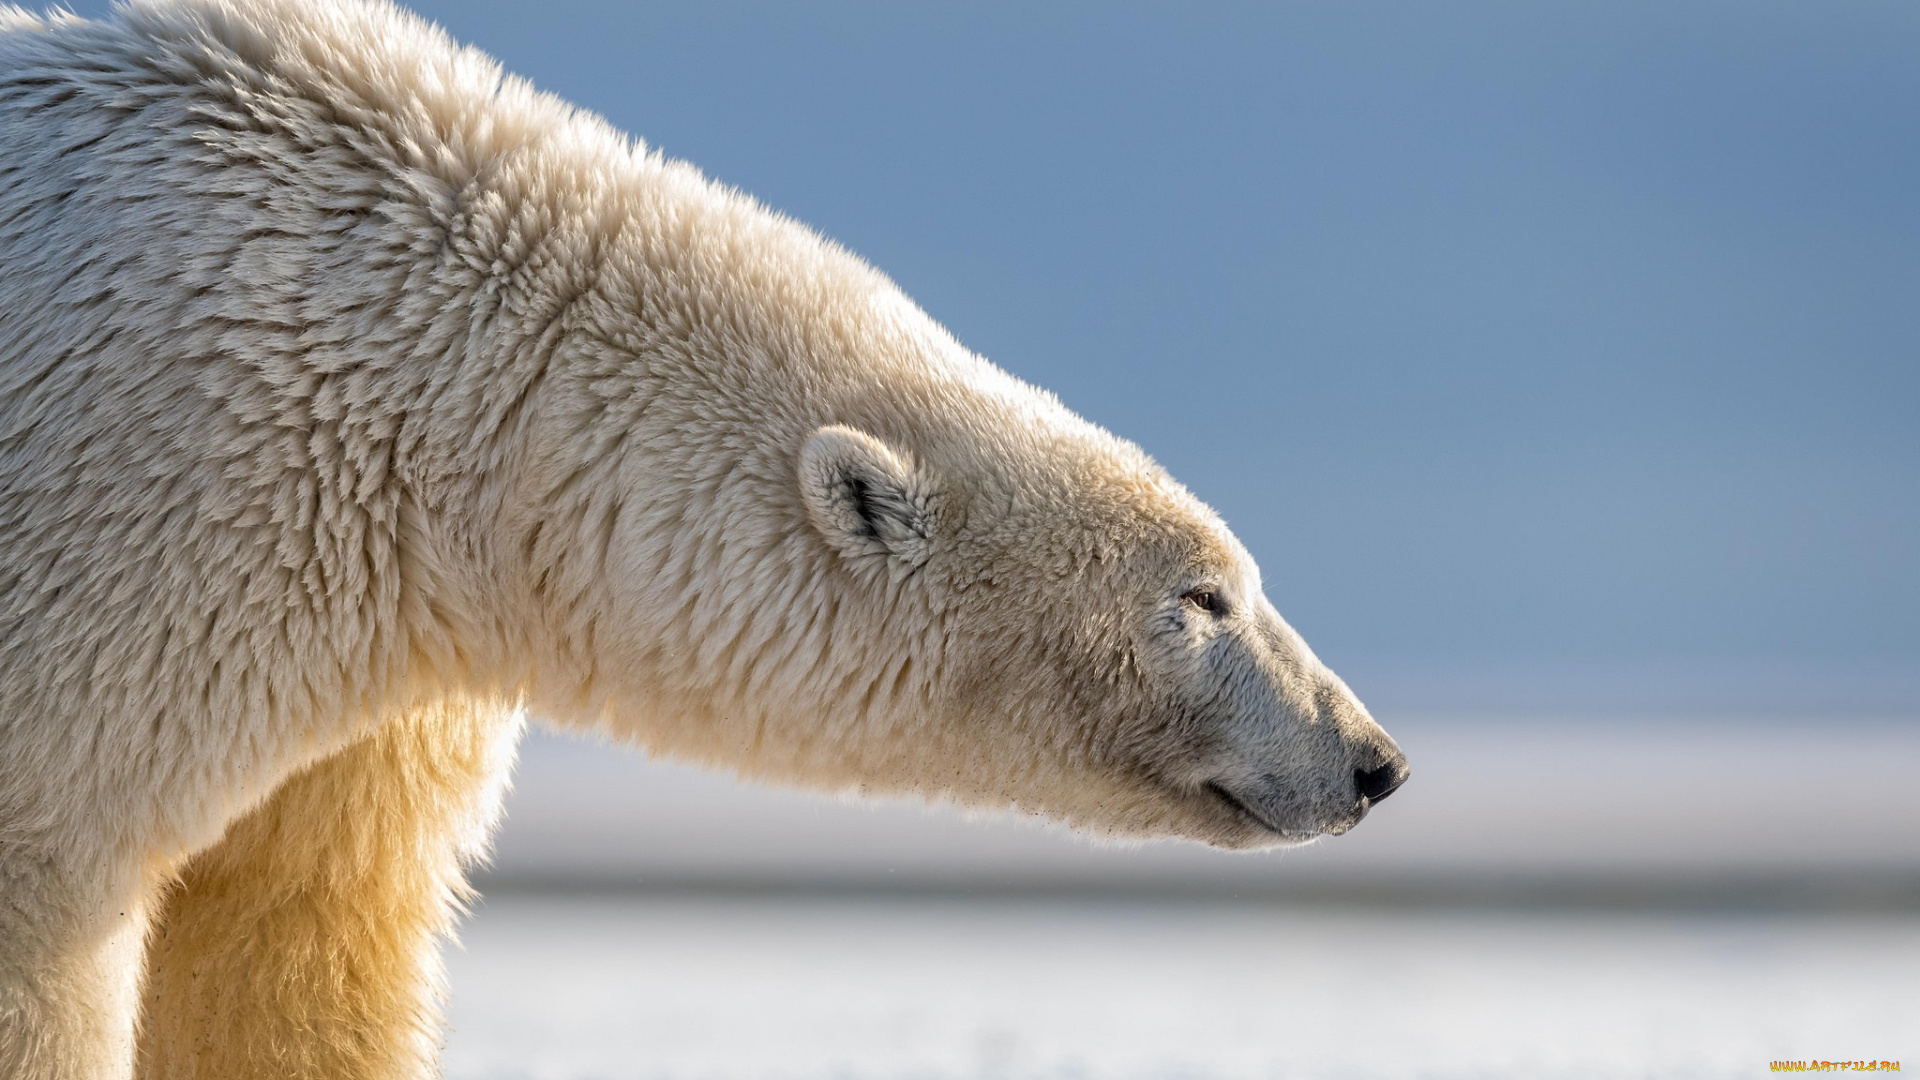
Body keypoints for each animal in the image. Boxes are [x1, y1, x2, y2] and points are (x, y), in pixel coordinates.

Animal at [0, 0, 1413, 1068]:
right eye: (1202, 595)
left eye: (1236, 576)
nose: (1372, 761)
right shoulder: (148, 525)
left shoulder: (371, 648)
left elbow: (293, 936)